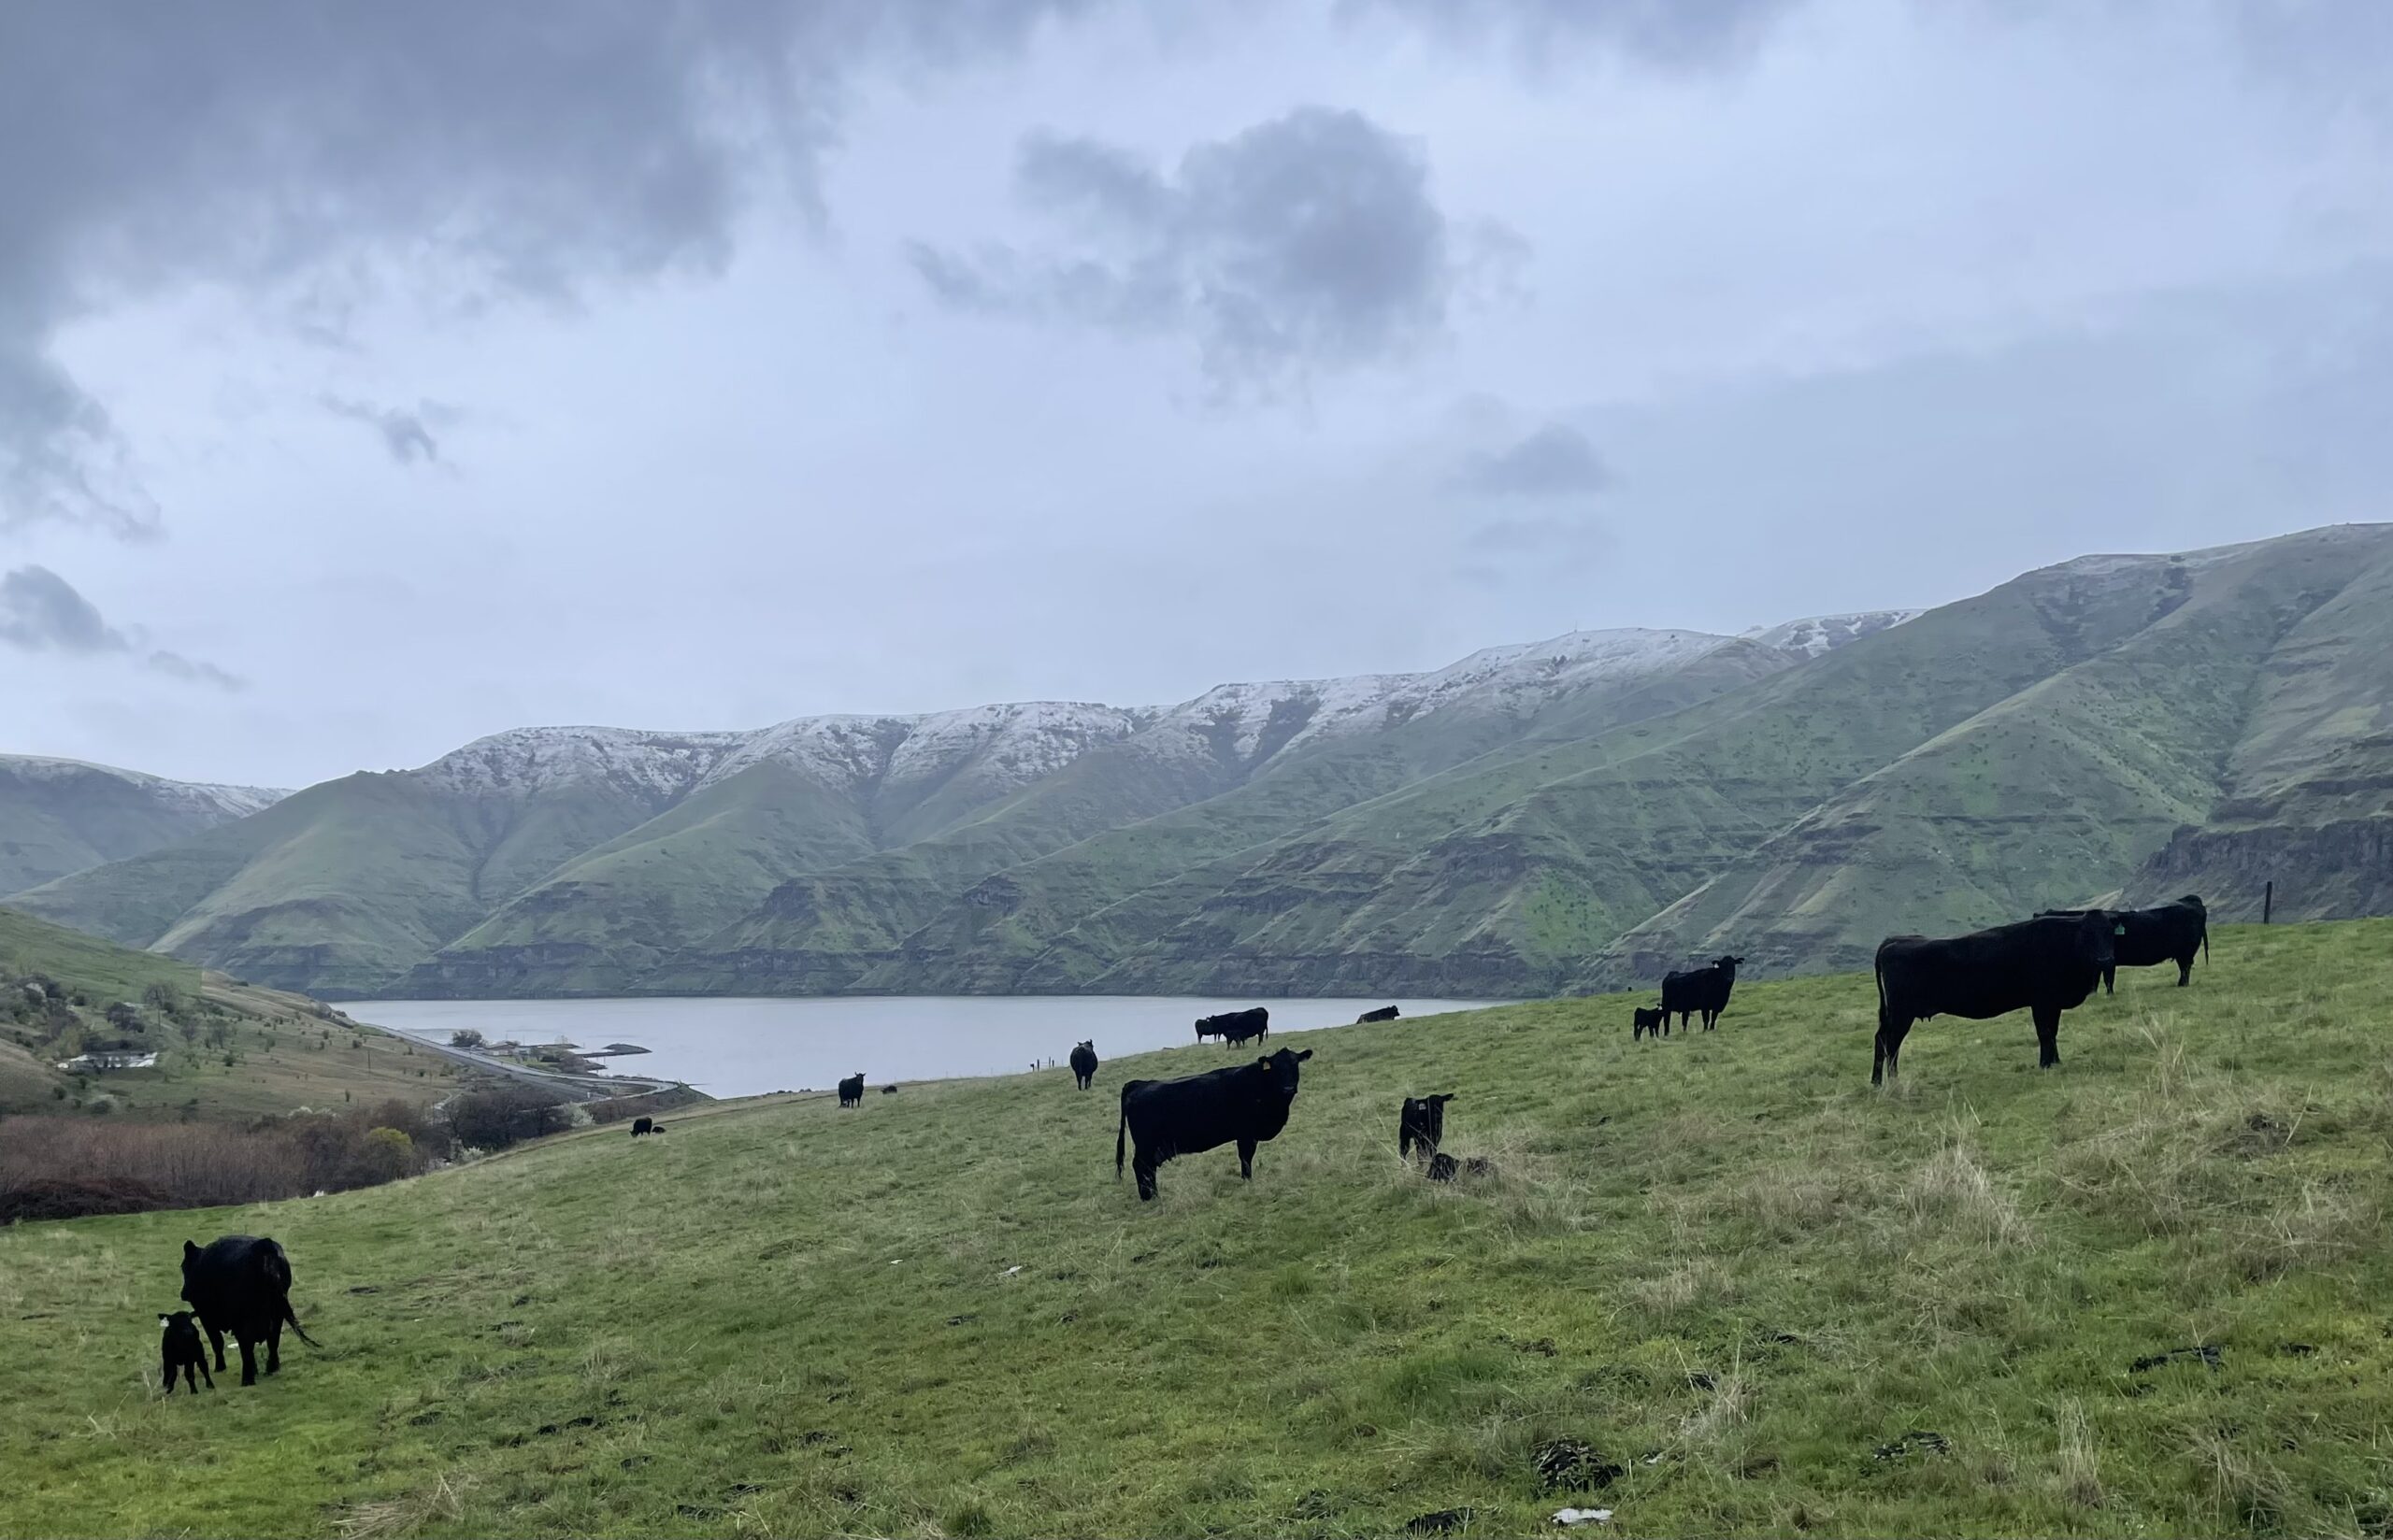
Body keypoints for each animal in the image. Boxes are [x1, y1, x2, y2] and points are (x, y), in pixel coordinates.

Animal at [178, 1236, 318, 1387]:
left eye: (183, 1267)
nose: (183, 1293)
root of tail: (265, 1245)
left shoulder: (206, 1316)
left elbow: (218, 1342)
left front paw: (220, 1367)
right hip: (277, 1312)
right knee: (272, 1340)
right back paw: (271, 1369)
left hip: (246, 1318)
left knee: (247, 1344)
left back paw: (247, 1379)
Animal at [1114, 1047, 1313, 1202]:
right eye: (1276, 1068)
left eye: (1295, 1064)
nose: (1288, 1088)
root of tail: (1139, 1084)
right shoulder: (1246, 1133)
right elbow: (1246, 1157)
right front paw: (1247, 1180)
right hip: (1146, 1146)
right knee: (1141, 1166)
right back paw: (1149, 1197)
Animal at [1872, 911, 2119, 1085]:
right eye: (2087, 934)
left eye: (2109, 933)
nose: (2105, 959)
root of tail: (1894, 941)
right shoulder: (2041, 1001)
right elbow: (2045, 1033)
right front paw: (2045, 1065)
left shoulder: (2053, 1003)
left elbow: (2053, 1032)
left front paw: (2055, 1062)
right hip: (1902, 1014)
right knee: (1891, 1043)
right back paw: (1893, 1081)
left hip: (1892, 1014)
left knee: (1880, 1039)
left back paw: (1876, 1082)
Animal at [2037, 895, 2208, 991]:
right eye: (2087, 933)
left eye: (2109, 933)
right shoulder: (2096, 961)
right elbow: (2095, 979)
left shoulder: (2109, 960)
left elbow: (2107, 978)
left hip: (2186, 951)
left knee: (2185, 968)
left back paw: (2182, 985)